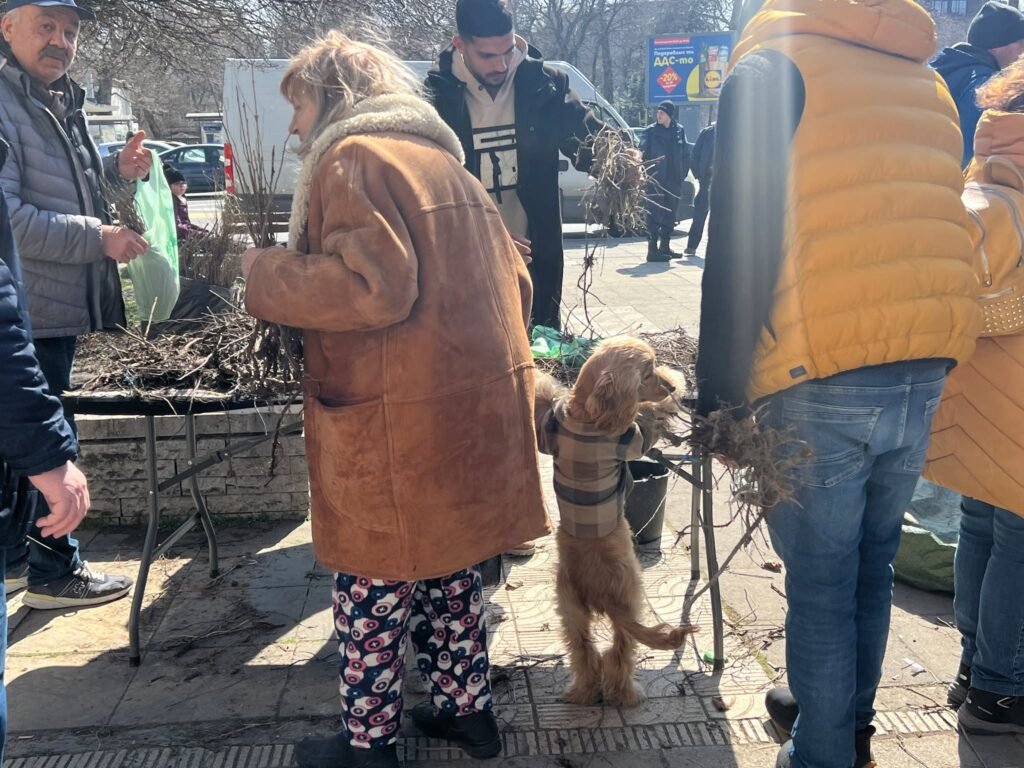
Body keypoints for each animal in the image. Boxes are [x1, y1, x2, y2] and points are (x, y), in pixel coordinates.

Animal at [535, 337, 695, 707]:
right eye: (648, 371)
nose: (668, 386)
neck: (585, 411)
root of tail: (600, 591)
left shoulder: (550, 430)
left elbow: (545, 402)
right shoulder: (632, 438)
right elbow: (646, 420)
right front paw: (670, 392)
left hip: (569, 607)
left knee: (584, 652)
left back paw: (581, 692)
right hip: (631, 597)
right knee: (619, 652)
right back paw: (627, 693)